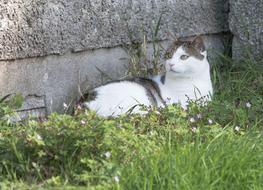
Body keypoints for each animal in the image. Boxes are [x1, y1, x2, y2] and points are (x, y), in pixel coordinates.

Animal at [79, 36, 214, 116]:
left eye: (184, 57)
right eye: (169, 55)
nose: (170, 64)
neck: (193, 80)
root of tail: (84, 103)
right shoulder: (184, 105)